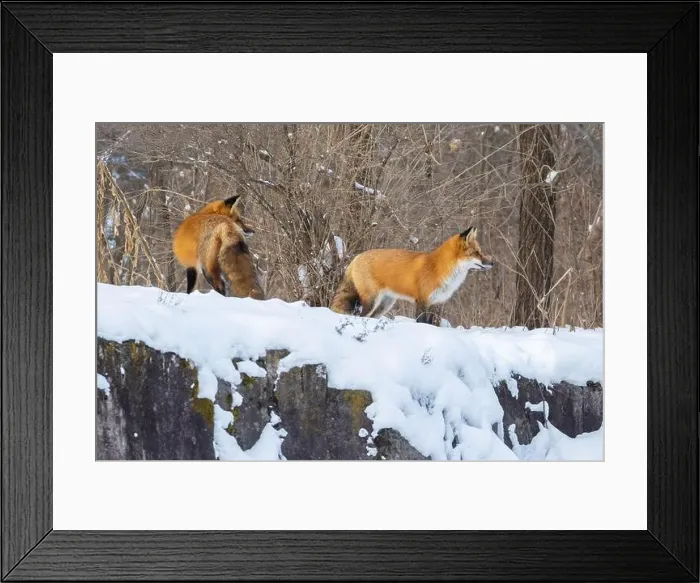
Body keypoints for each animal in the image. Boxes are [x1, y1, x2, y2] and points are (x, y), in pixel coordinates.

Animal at [330, 227, 493, 324]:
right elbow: (422, 322)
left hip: (385, 304)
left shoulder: (435, 304)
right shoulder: (422, 301)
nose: (492, 263)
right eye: (476, 253)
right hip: (371, 301)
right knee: (361, 316)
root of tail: (357, 257)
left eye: (480, 252)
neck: (439, 268)